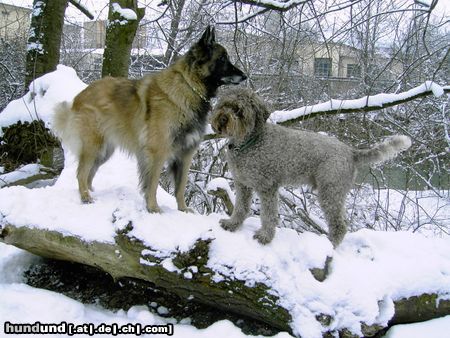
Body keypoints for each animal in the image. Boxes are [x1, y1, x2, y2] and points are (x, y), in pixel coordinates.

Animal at [52, 27, 246, 211]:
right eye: (222, 59)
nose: (244, 76)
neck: (189, 87)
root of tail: (79, 96)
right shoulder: (157, 152)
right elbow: (152, 184)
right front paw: (153, 208)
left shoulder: (185, 154)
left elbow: (181, 187)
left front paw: (182, 209)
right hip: (94, 146)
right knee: (81, 173)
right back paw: (86, 197)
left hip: (104, 151)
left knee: (89, 174)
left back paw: (92, 194)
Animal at [211, 87, 412, 247]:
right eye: (224, 105)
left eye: (239, 110)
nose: (222, 118)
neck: (250, 142)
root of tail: (351, 152)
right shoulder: (243, 184)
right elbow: (240, 208)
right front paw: (232, 224)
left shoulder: (268, 187)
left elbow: (268, 216)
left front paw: (265, 237)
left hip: (330, 192)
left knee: (339, 225)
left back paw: (330, 245)